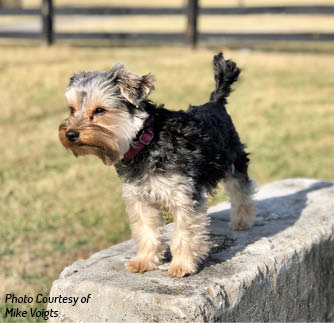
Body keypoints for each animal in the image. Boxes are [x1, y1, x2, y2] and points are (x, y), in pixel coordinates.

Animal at [58, 52, 256, 278]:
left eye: (100, 110)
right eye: (71, 109)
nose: (70, 134)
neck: (145, 141)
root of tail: (215, 103)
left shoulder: (184, 197)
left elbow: (184, 234)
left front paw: (181, 265)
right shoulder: (140, 198)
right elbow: (147, 231)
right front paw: (144, 261)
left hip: (234, 160)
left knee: (241, 190)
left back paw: (241, 222)